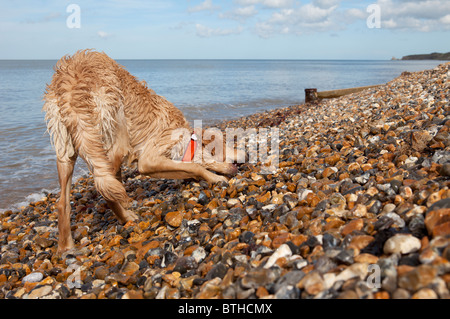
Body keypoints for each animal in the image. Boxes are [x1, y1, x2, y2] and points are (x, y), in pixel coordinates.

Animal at [43, 50, 243, 255]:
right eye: (223, 148)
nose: (243, 158)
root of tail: (70, 82)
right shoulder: (148, 160)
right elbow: (195, 167)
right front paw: (214, 178)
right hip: (114, 137)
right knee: (105, 188)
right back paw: (125, 217)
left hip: (67, 148)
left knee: (64, 202)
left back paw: (66, 246)